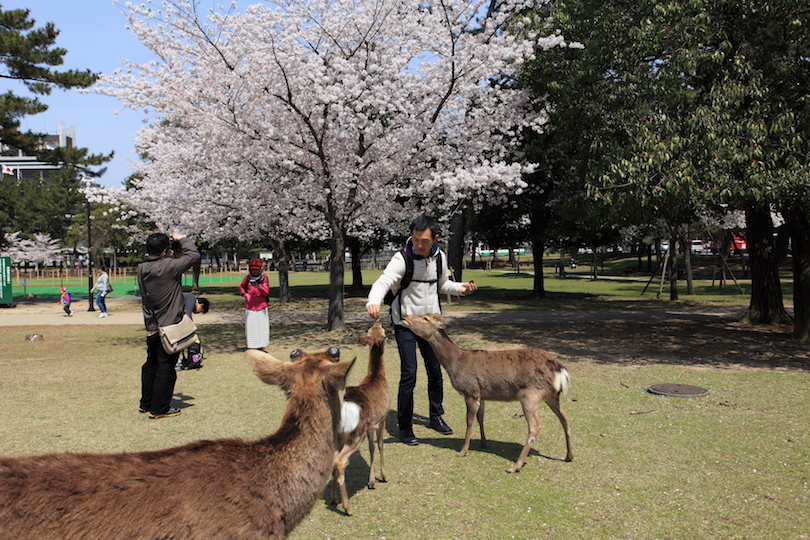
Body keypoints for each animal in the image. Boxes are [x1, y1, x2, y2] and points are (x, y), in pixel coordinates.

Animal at [330, 318, 390, 516]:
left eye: (372, 329)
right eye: (381, 329)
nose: (378, 320)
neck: (377, 377)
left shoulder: (370, 425)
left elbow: (371, 448)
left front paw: (371, 481)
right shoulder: (382, 418)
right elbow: (380, 445)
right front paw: (383, 476)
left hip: (339, 434)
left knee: (332, 460)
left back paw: (333, 499)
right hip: (356, 432)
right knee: (340, 461)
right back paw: (347, 507)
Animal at [400, 312, 572, 472]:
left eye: (426, 318)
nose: (404, 316)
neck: (456, 363)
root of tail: (560, 370)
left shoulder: (470, 391)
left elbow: (469, 420)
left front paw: (462, 451)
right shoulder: (481, 395)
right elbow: (480, 418)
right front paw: (483, 442)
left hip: (530, 395)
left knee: (535, 426)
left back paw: (515, 466)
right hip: (551, 396)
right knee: (564, 417)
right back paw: (569, 456)